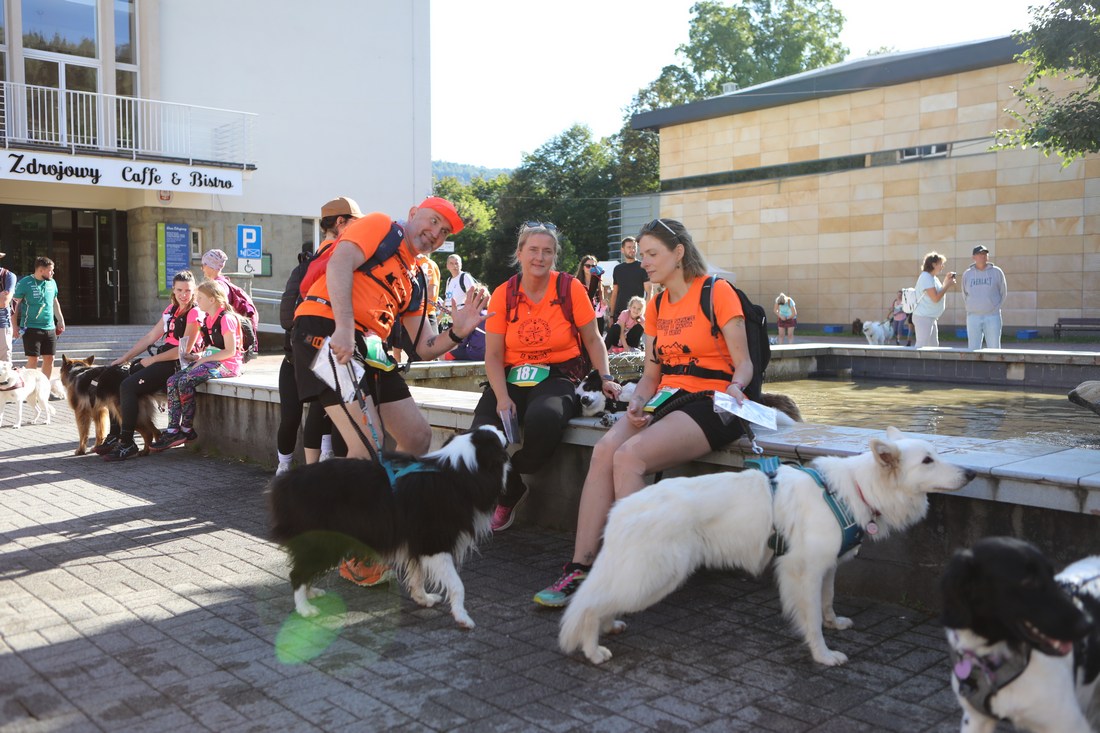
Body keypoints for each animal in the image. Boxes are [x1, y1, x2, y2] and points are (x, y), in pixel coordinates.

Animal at [267, 425, 511, 628]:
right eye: (497, 439)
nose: (504, 430)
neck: (459, 471)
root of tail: (285, 482)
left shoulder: (416, 541)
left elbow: (418, 574)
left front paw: (423, 598)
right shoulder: (434, 543)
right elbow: (457, 585)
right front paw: (463, 617)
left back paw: (311, 593)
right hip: (324, 541)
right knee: (296, 573)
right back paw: (305, 608)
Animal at [558, 427, 975, 666]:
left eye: (936, 453)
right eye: (927, 460)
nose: (971, 473)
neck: (855, 490)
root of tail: (622, 509)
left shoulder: (826, 567)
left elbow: (827, 601)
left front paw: (834, 622)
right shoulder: (801, 571)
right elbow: (811, 619)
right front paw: (823, 655)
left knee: (603, 599)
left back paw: (610, 626)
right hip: (659, 575)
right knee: (591, 606)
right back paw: (593, 650)